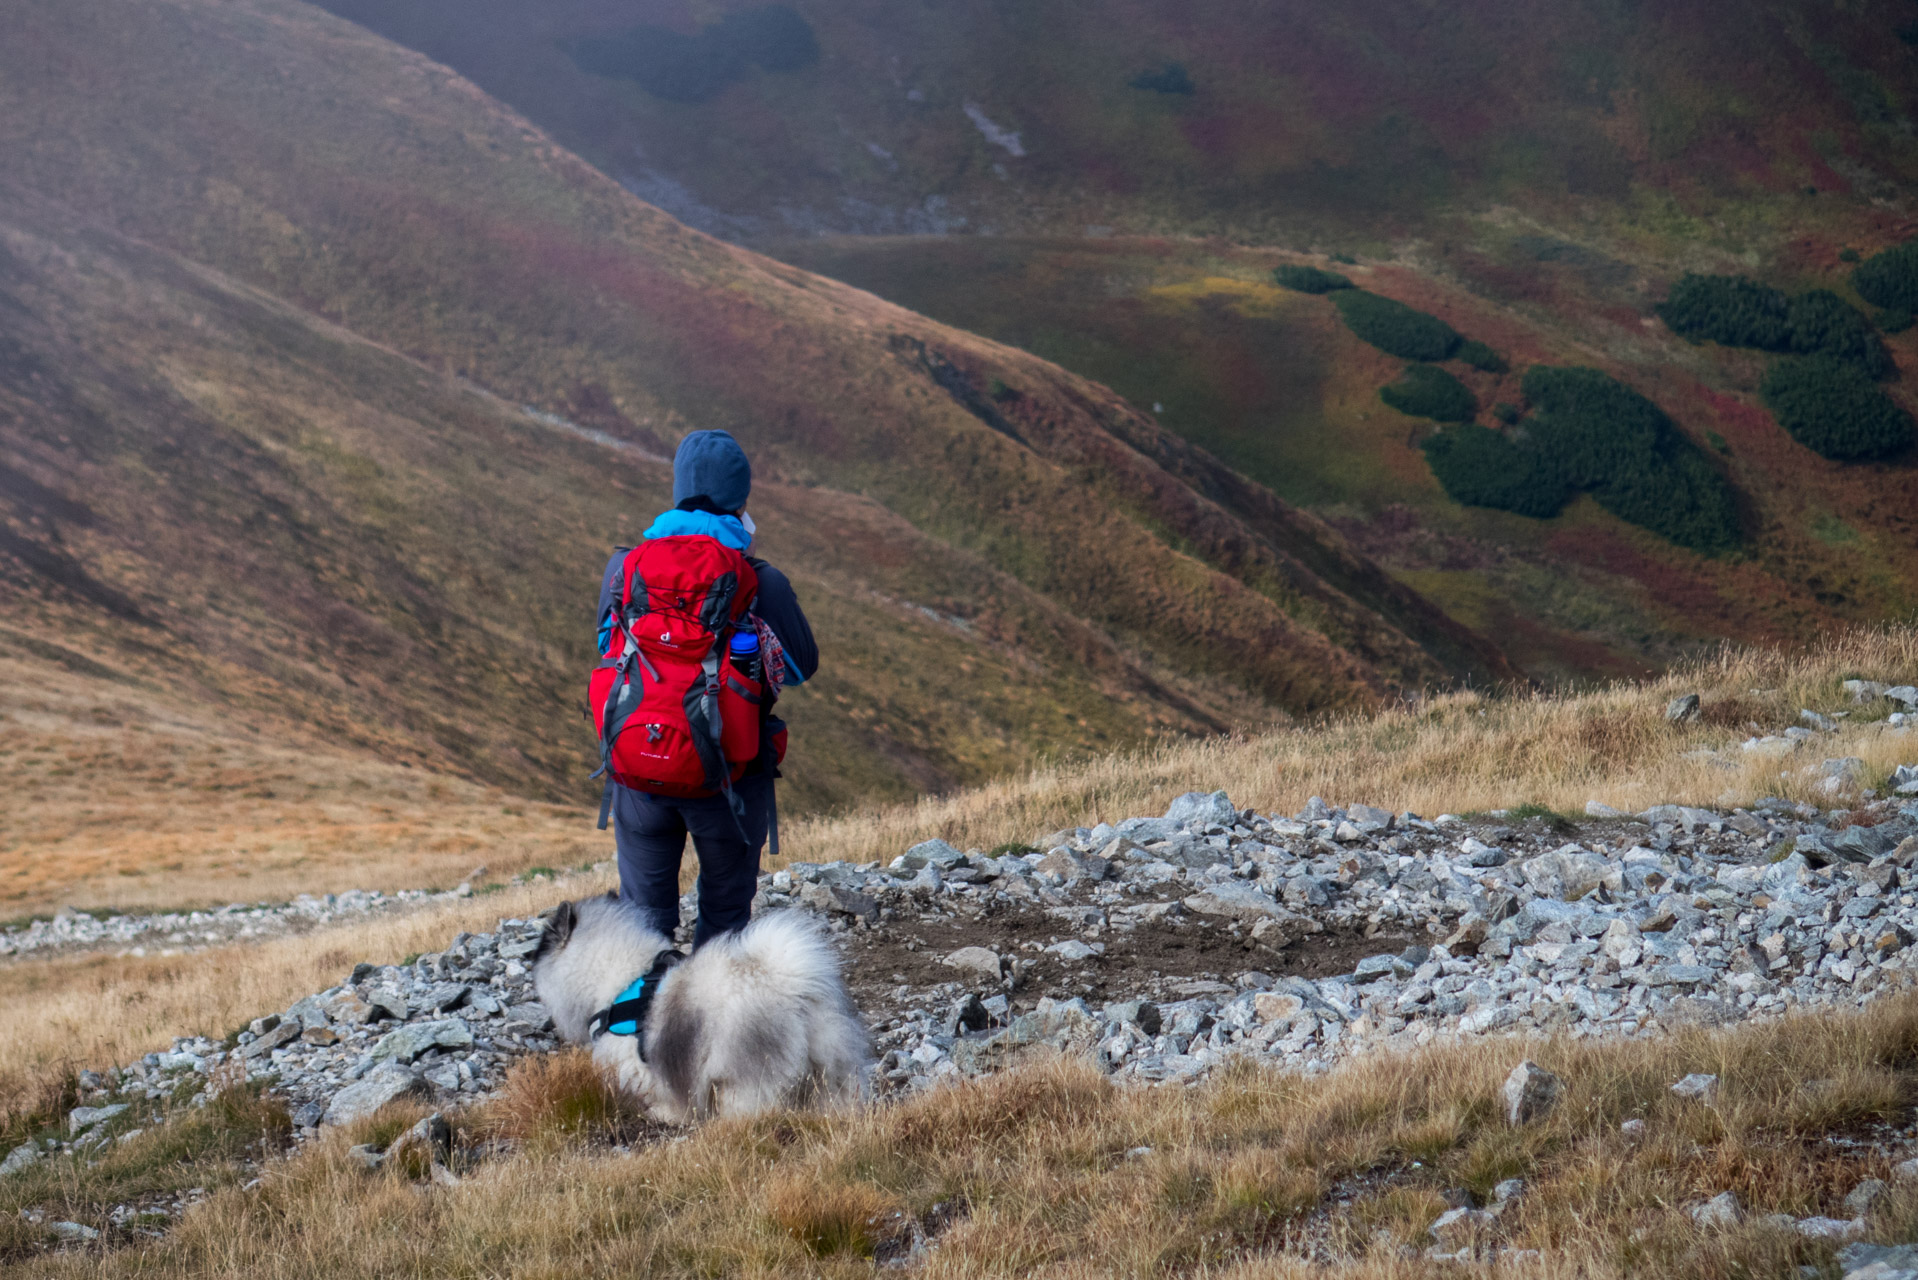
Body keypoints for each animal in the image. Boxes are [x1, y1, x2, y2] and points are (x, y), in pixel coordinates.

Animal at [537, 898, 874, 1128]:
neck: (622, 980)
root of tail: (786, 981)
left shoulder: (644, 1066)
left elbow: (664, 1095)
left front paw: (665, 1115)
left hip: (743, 1078)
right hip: (831, 1062)